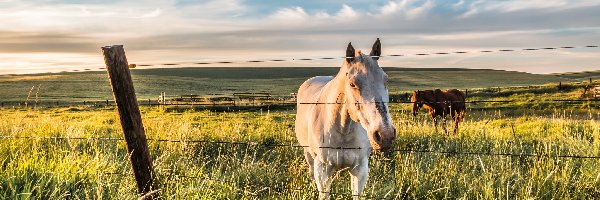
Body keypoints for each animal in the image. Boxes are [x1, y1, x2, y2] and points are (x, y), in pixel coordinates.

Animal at [294, 38, 396, 199]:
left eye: (386, 80)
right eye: (352, 84)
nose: (385, 135)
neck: (343, 129)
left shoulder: (360, 170)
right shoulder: (322, 170)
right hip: (309, 155)